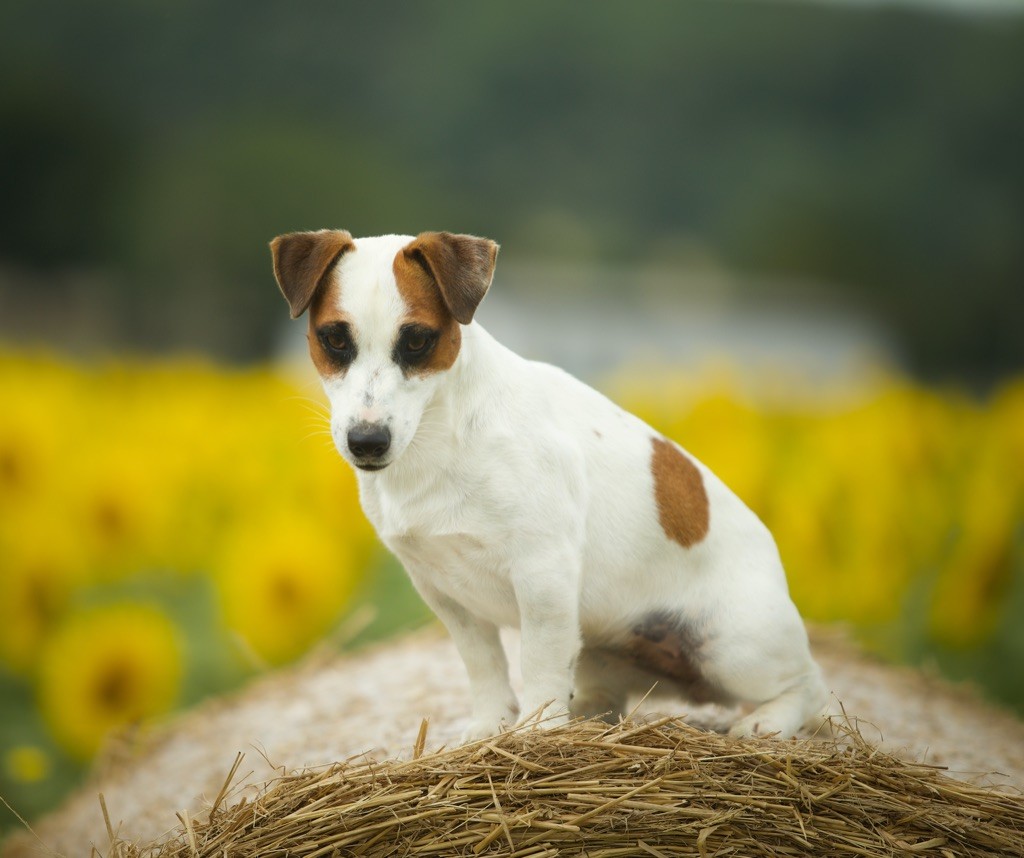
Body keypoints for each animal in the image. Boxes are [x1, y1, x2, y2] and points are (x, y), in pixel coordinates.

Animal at [272, 228, 831, 737]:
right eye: (334, 339)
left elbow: (538, 663)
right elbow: (484, 666)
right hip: (603, 648)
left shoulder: (543, 573)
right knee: (604, 689)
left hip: (730, 647)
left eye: (416, 340)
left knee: (808, 685)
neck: (442, 440)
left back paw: (768, 722)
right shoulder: (443, 591)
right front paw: (491, 728)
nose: (367, 442)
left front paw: (537, 731)